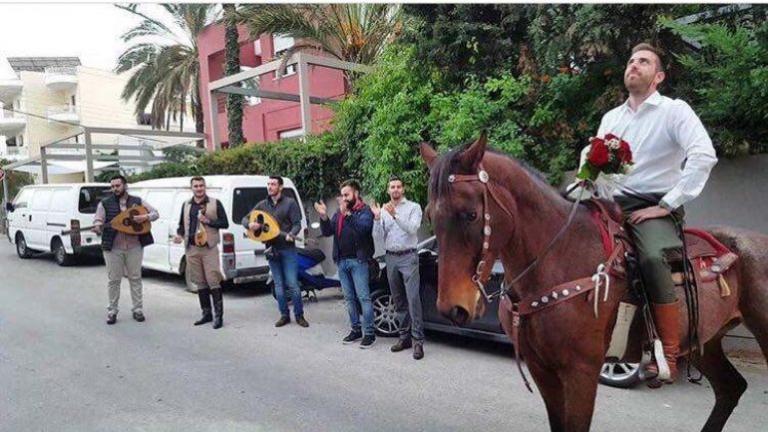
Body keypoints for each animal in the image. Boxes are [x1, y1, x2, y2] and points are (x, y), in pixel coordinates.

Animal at [420, 135, 768, 432]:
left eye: (470, 214)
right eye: (431, 215)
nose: (452, 308)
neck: (558, 258)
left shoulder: (581, 371)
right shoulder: (542, 369)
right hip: (704, 339)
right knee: (730, 388)